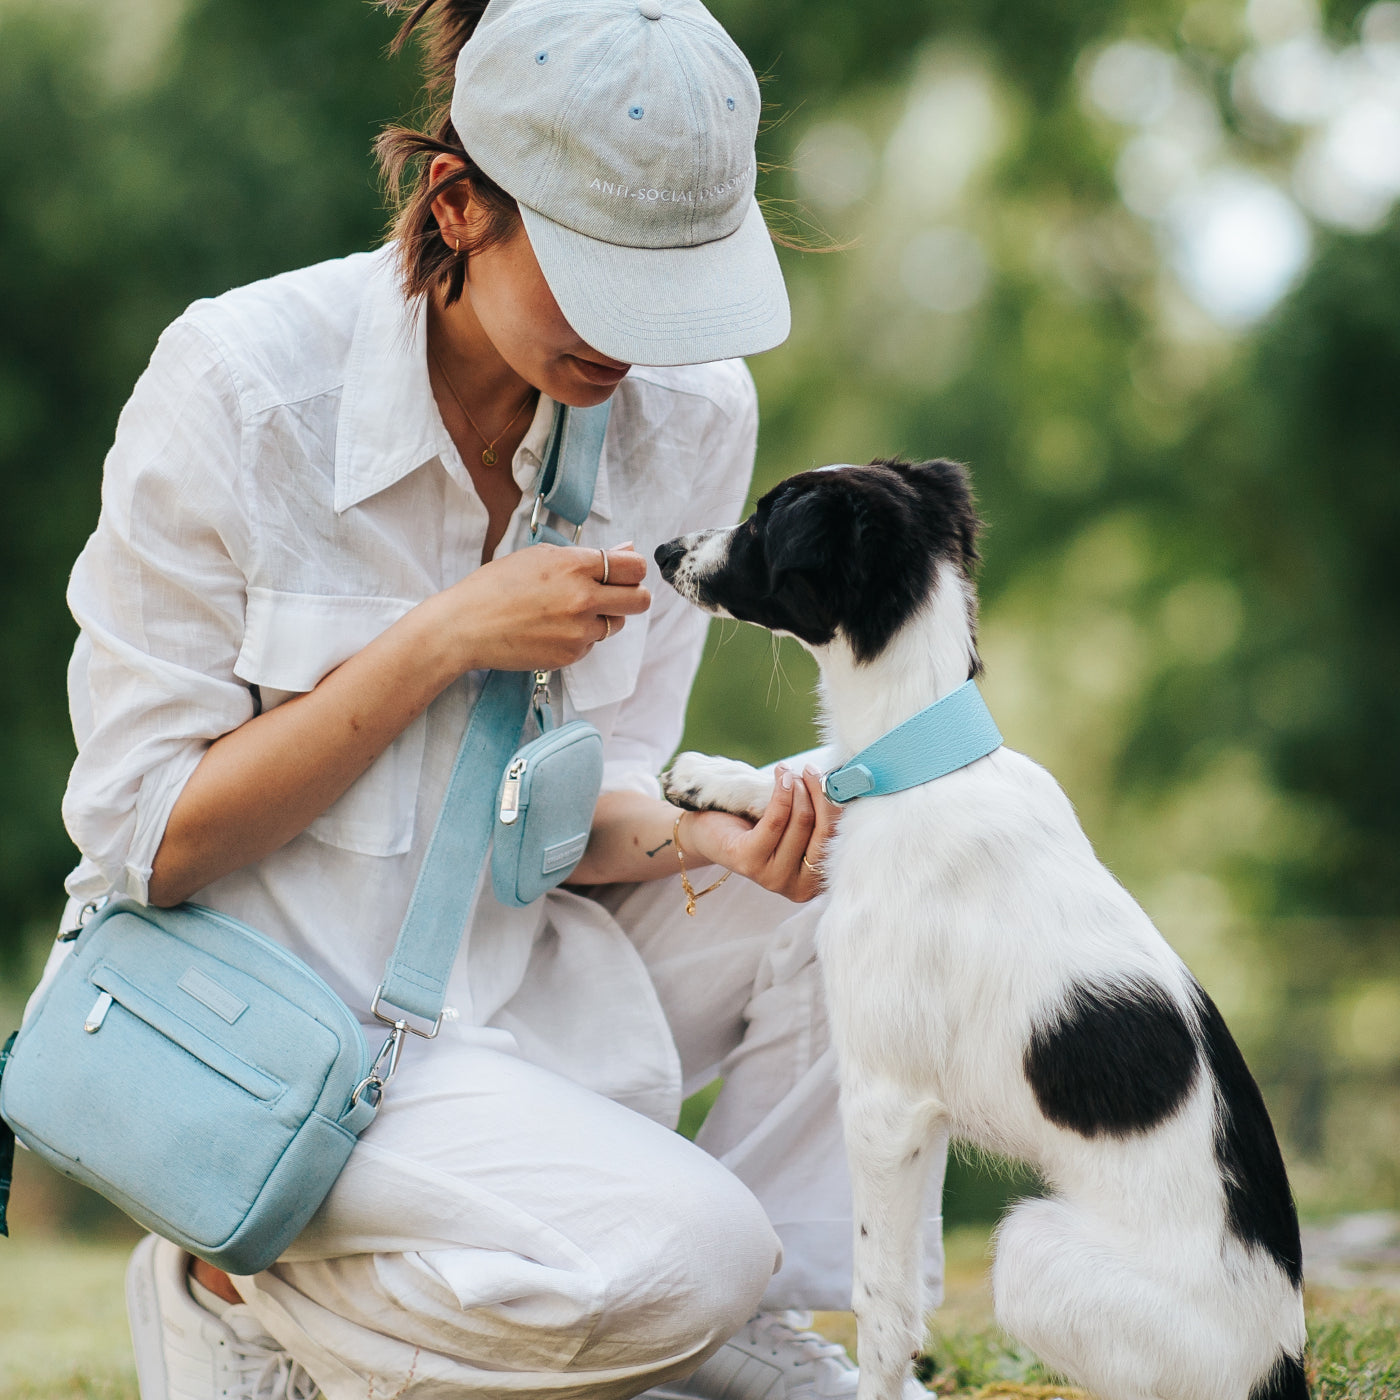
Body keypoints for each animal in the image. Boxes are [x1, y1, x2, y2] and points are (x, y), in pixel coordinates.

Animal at [649, 462, 1304, 1400]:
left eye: (764, 521)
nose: (663, 550)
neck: (920, 766)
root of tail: (1285, 1360)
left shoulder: (885, 1102)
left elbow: (881, 1304)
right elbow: (814, 773)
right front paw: (712, 778)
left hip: (1032, 1251)